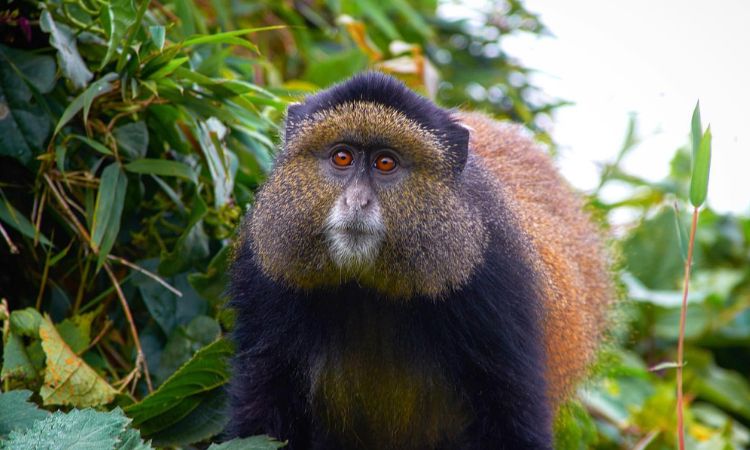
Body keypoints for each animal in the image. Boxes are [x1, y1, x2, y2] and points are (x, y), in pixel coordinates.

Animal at [226, 72, 613, 450]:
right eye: (342, 158)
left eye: (385, 163)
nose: (357, 202)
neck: (366, 288)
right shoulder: (264, 274)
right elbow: (262, 404)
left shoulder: (496, 282)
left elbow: (512, 418)